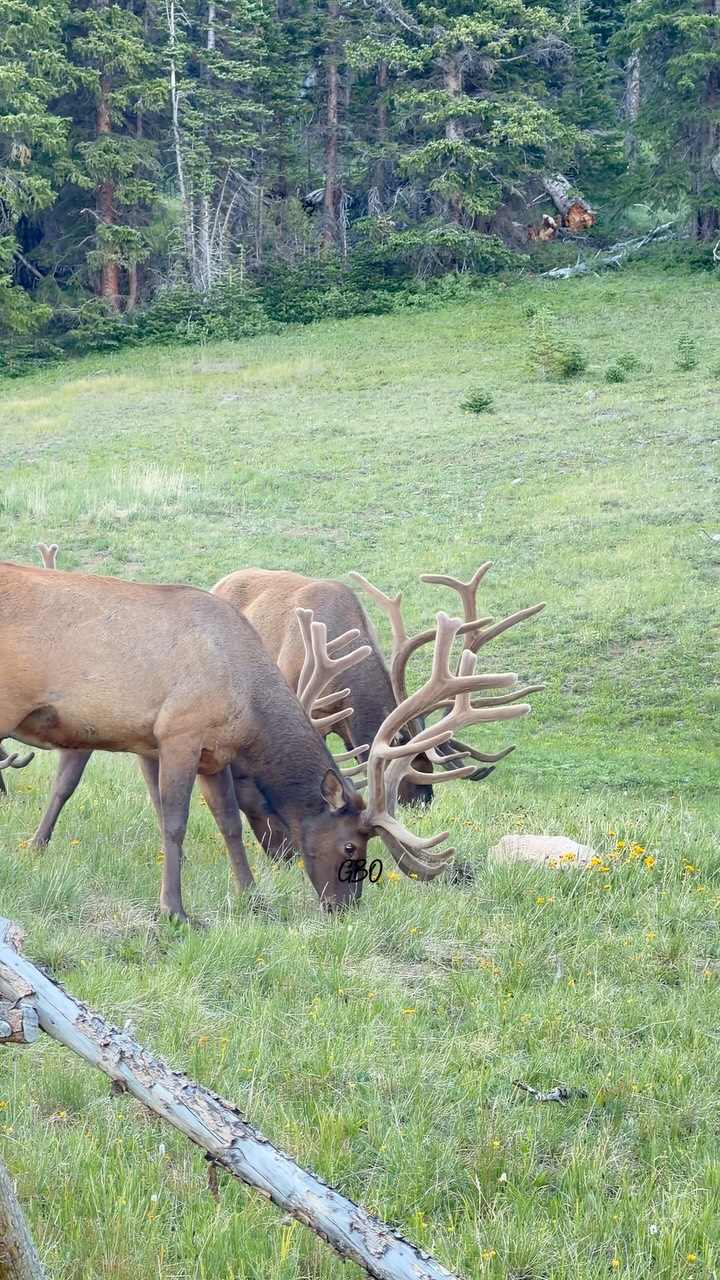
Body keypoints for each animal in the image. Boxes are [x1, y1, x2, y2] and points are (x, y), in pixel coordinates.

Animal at [0, 558, 544, 919]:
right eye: (351, 845)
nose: (347, 907)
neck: (246, 699)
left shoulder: (212, 754)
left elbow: (227, 824)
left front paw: (252, 896)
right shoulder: (179, 731)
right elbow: (174, 823)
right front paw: (174, 911)